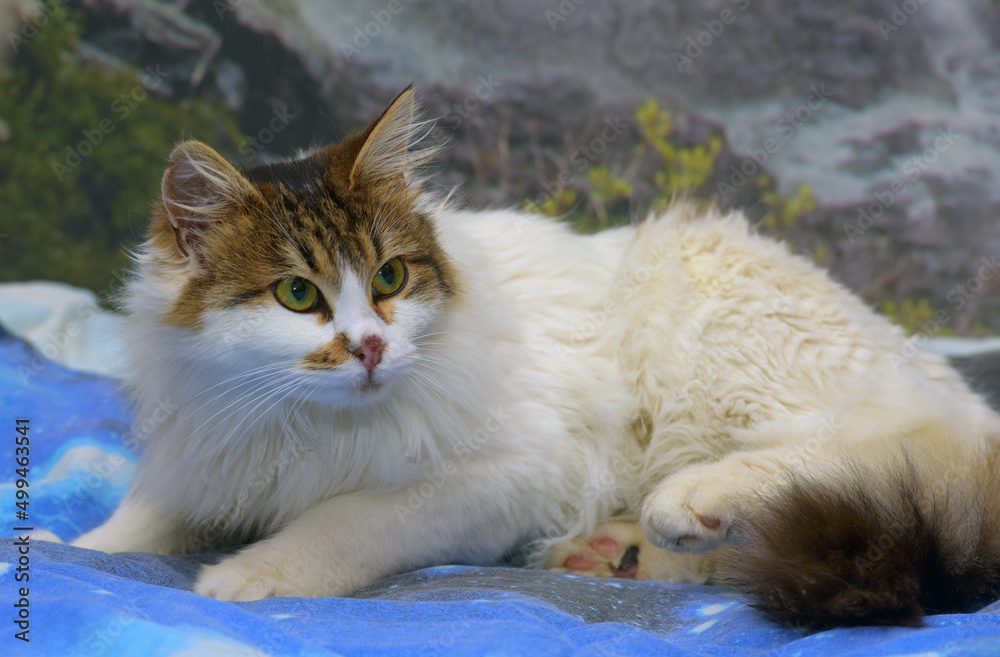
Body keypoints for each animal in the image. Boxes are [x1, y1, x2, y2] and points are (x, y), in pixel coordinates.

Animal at [74, 84, 1000, 628]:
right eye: (298, 294)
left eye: (389, 276)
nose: (371, 347)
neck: (296, 423)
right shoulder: (204, 456)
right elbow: (133, 525)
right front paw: (74, 541)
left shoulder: (497, 474)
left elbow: (346, 520)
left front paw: (252, 572)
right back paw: (617, 554)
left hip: (714, 326)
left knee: (907, 445)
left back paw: (688, 507)